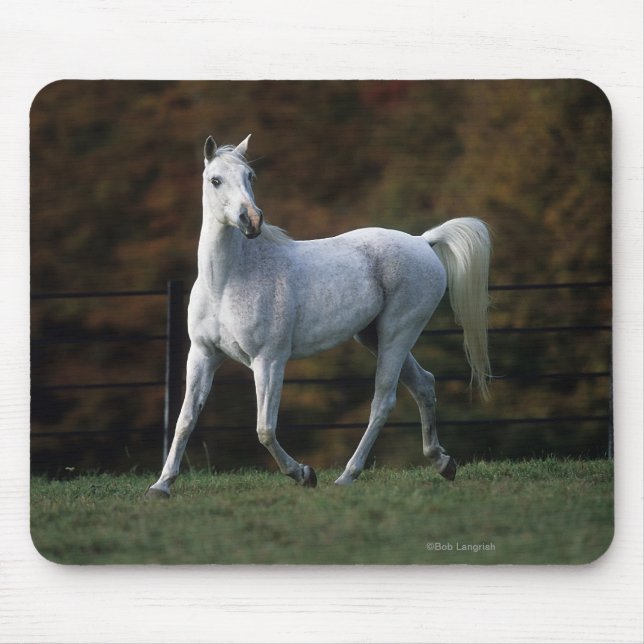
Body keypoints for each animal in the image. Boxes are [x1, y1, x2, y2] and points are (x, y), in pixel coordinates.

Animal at [146, 134, 491, 497]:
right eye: (215, 180)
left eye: (250, 176)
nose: (250, 221)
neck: (227, 281)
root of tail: (423, 241)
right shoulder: (202, 355)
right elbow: (185, 420)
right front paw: (161, 485)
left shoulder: (269, 361)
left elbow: (265, 428)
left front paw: (303, 474)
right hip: (374, 337)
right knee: (424, 383)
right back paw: (443, 463)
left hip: (398, 334)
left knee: (383, 401)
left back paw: (348, 475)